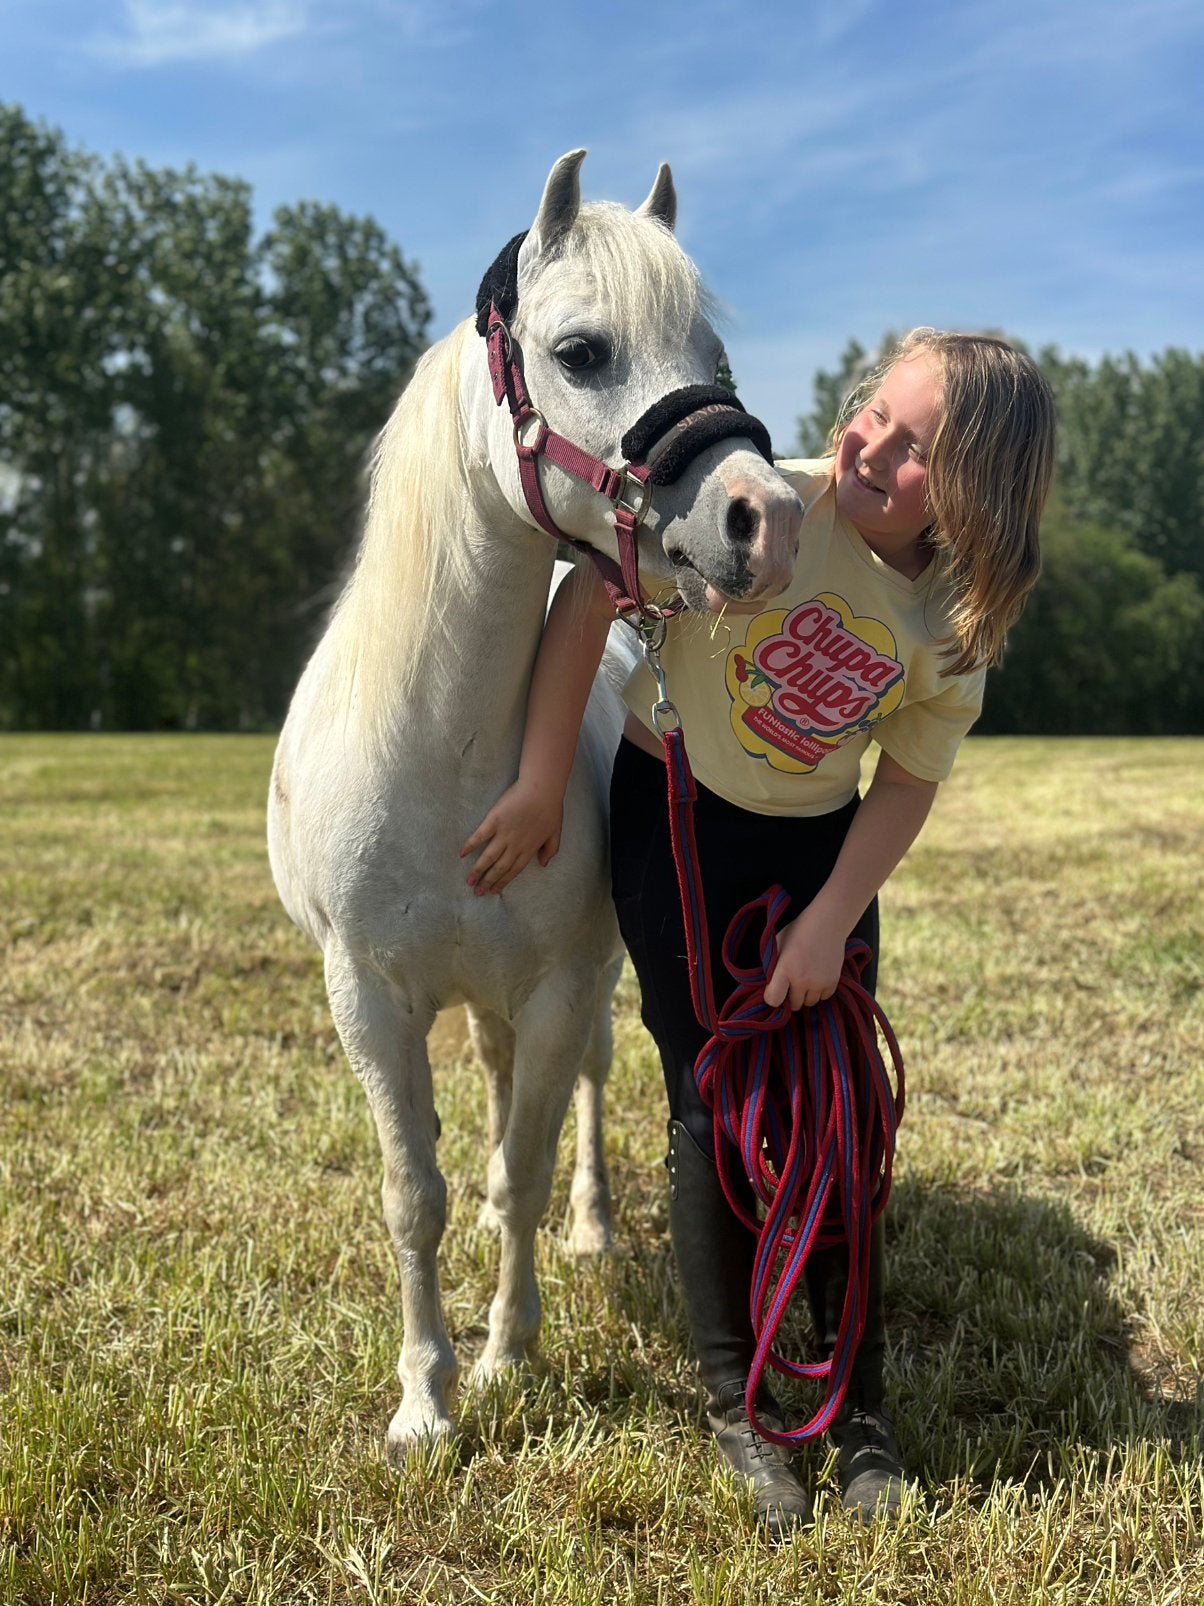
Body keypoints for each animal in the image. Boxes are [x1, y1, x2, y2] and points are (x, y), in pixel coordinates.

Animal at [267, 149, 803, 1456]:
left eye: (712, 356)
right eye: (582, 351)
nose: (763, 518)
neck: (448, 750)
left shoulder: (562, 986)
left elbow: (526, 1162)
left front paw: (509, 1357)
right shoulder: (369, 998)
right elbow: (415, 1193)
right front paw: (424, 1401)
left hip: (584, 990)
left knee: (582, 1099)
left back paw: (596, 1229)